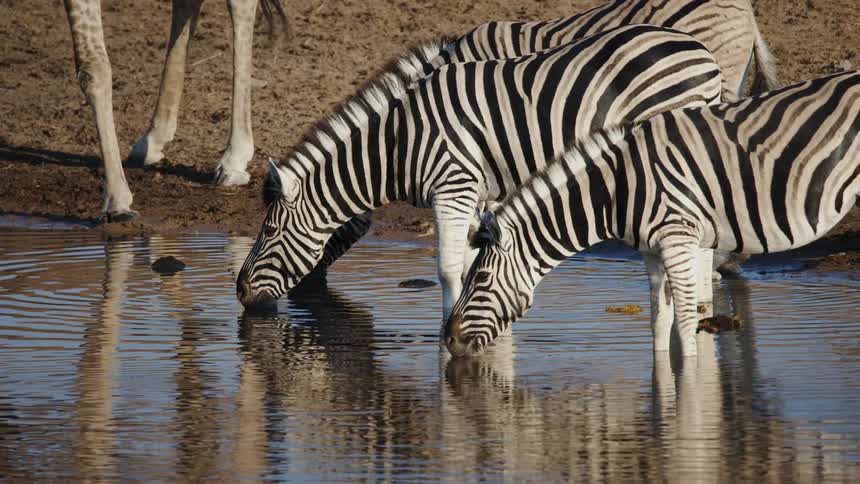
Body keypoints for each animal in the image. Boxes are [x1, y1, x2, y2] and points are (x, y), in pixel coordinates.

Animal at [236, 24, 723, 320]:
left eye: (269, 231)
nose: (239, 293)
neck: (398, 142)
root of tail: (701, 51)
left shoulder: (453, 186)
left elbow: (450, 267)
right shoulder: (478, 194)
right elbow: (475, 260)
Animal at [444, 70, 860, 358]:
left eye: (479, 277)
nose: (447, 339)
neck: (617, 188)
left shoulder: (678, 240)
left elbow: (687, 323)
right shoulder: (651, 251)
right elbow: (659, 323)